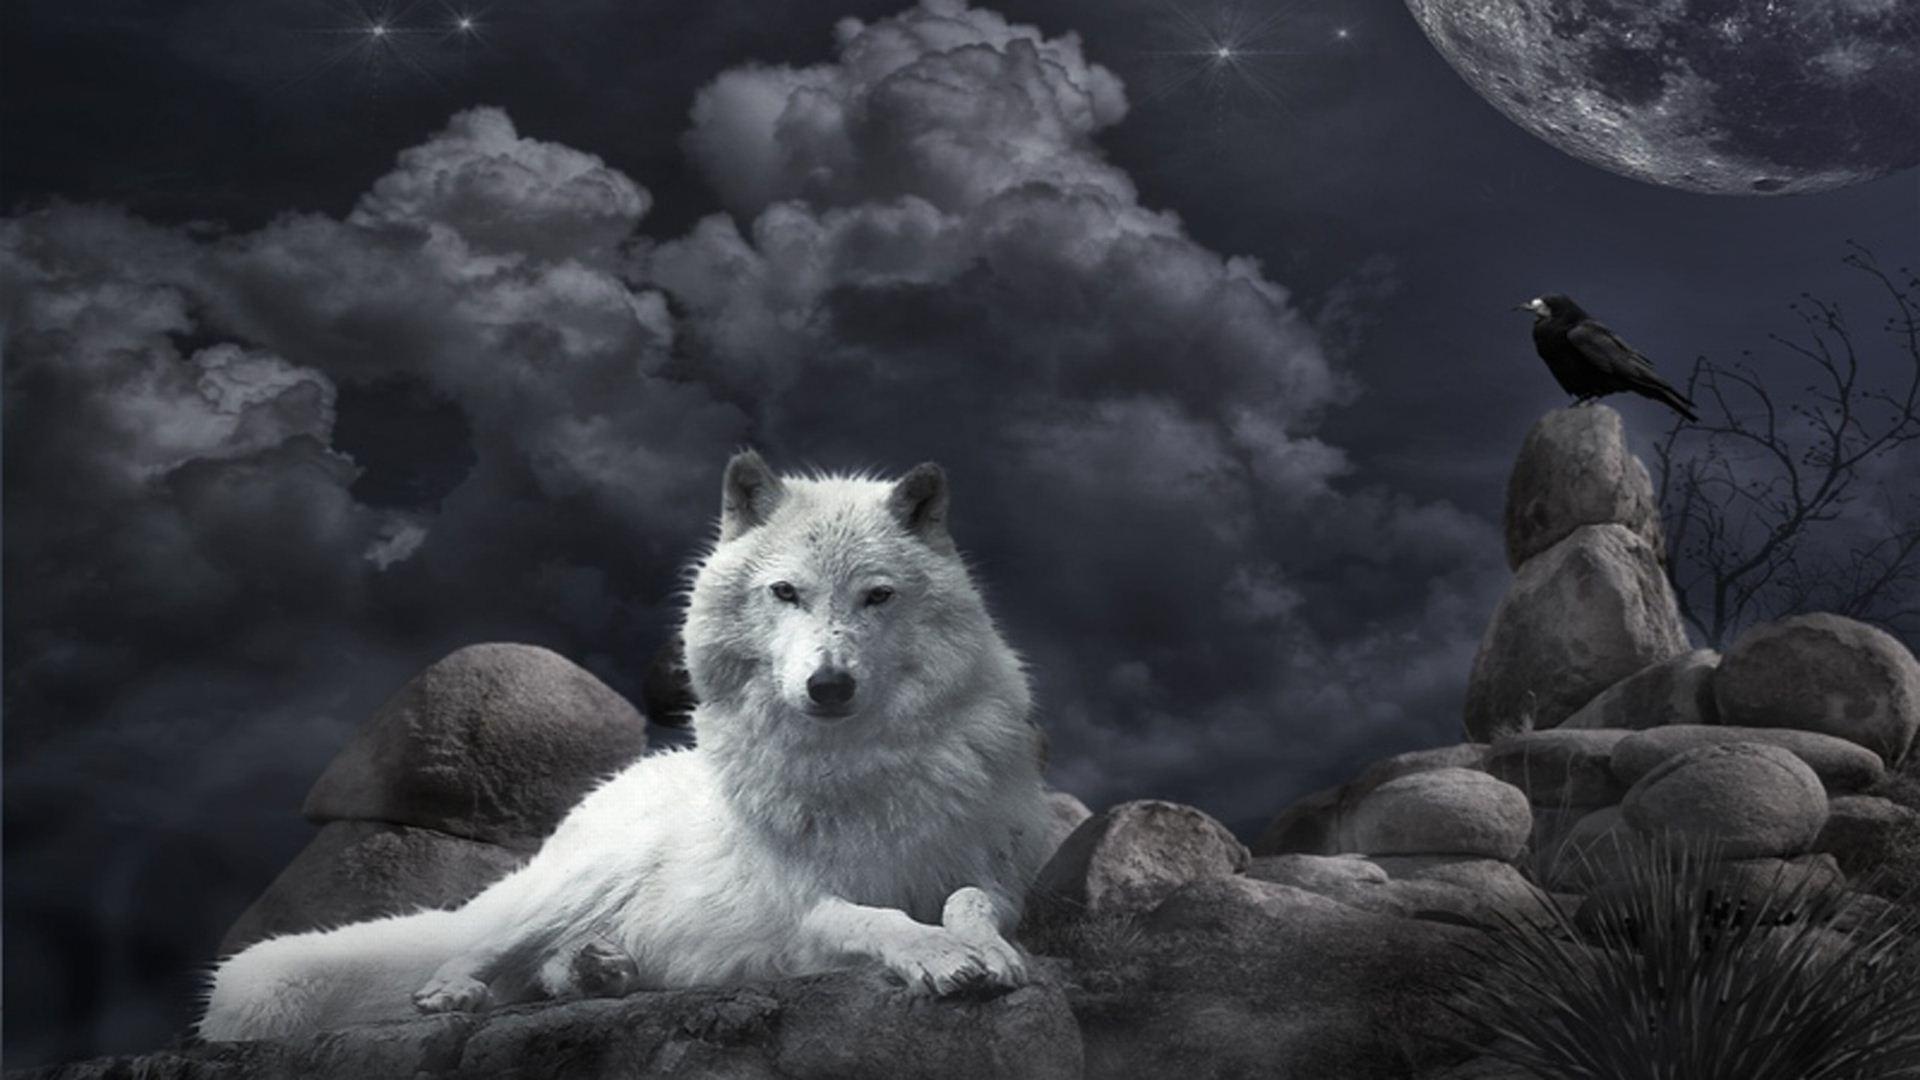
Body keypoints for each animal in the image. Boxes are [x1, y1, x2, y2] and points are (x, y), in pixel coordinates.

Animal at [199, 450, 1053, 1040]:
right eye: (785, 592)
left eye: (877, 596)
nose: (829, 686)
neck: (859, 766)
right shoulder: (799, 908)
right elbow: (874, 919)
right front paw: (939, 957)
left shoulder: (997, 874)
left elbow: (970, 902)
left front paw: (988, 952)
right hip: (577, 879)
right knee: (483, 950)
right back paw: (459, 989)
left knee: (541, 972)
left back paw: (600, 968)